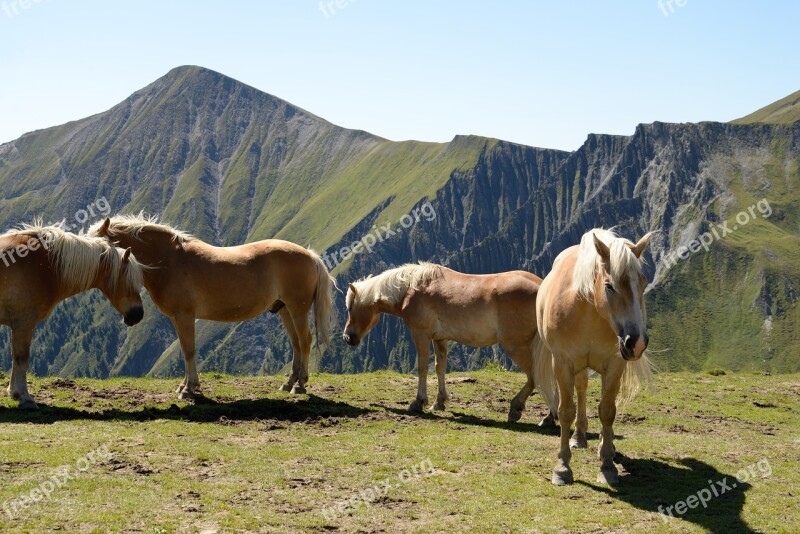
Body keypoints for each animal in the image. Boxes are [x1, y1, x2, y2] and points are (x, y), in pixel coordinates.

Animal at [0, 222, 144, 410]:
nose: (138, 314)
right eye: (129, 281)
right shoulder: (24, 323)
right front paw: (23, 396)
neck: (45, 266)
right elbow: (21, 358)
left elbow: (17, 358)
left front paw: (15, 393)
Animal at [90, 216, 334, 400]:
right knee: (296, 343)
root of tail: (310, 255)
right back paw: (289, 383)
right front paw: (184, 386)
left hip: (297, 309)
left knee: (305, 341)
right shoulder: (177, 318)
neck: (170, 260)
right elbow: (184, 350)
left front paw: (189, 389)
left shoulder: (185, 316)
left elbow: (189, 350)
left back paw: (300, 385)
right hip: (284, 310)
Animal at [344, 264, 556, 428]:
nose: (347, 337)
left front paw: (418, 403)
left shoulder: (421, 334)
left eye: (350, 307)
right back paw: (546, 417)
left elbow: (422, 368)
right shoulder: (440, 339)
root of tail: (542, 286)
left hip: (516, 346)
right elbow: (440, 368)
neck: (411, 289)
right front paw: (439, 402)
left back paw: (523, 411)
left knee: (535, 377)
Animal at [536, 228, 652, 488]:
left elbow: (607, 411)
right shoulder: (562, 363)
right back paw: (578, 437)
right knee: (580, 389)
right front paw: (562, 468)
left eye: (643, 283)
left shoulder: (616, 364)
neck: (587, 311)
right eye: (609, 286)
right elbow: (566, 411)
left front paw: (607, 466)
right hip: (578, 367)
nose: (636, 342)